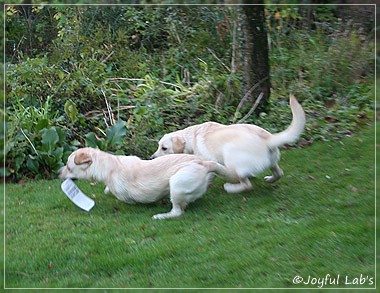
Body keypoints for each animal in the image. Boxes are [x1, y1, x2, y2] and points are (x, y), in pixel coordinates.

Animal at [58, 147, 235, 218]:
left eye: (69, 167)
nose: (57, 172)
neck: (110, 165)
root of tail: (204, 163)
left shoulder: (124, 195)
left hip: (176, 183)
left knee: (178, 211)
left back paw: (162, 215)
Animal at [151, 94, 306, 193]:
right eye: (158, 146)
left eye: (164, 148)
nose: (152, 157)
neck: (191, 137)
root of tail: (267, 139)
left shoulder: (207, 160)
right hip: (272, 161)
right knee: (279, 172)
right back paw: (269, 179)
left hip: (230, 155)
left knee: (246, 185)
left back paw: (231, 188)